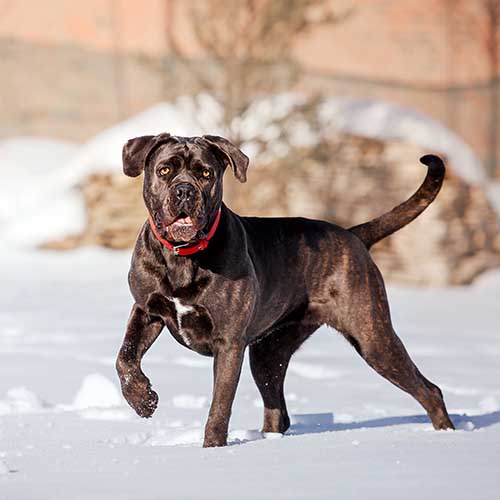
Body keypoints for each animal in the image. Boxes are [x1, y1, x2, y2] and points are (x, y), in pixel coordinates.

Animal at [115, 132, 456, 446]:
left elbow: (220, 406)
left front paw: (212, 448)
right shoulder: (146, 311)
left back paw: (447, 435)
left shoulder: (229, 343)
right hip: (268, 353)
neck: (182, 256)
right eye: (164, 170)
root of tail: (353, 235)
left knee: (429, 390)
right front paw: (143, 400)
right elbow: (125, 357)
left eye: (205, 173)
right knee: (277, 409)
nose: (185, 190)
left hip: (373, 338)